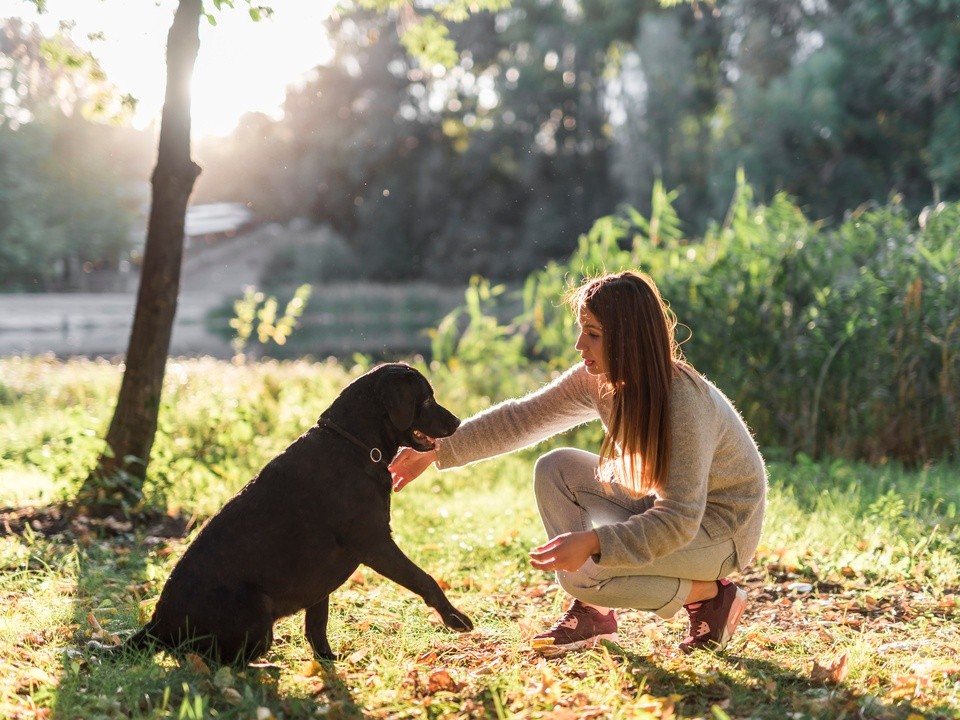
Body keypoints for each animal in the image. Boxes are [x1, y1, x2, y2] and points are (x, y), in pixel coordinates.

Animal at [125, 362, 470, 668]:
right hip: (257, 612)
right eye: (427, 399)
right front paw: (456, 618)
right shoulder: (374, 544)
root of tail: (157, 623)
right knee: (212, 661)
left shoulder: (322, 576)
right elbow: (425, 580)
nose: (457, 421)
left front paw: (328, 662)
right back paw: (265, 666)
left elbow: (316, 624)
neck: (356, 446)